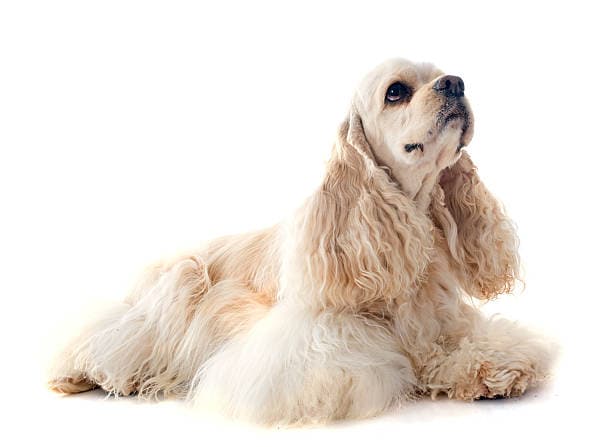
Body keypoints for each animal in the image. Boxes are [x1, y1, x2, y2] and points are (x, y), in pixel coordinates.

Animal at [50, 57, 552, 426]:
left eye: (443, 74)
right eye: (396, 92)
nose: (456, 83)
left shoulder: (444, 320)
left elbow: (473, 344)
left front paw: (491, 369)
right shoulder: (309, 344)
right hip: (180, 282)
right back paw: (94, 374)